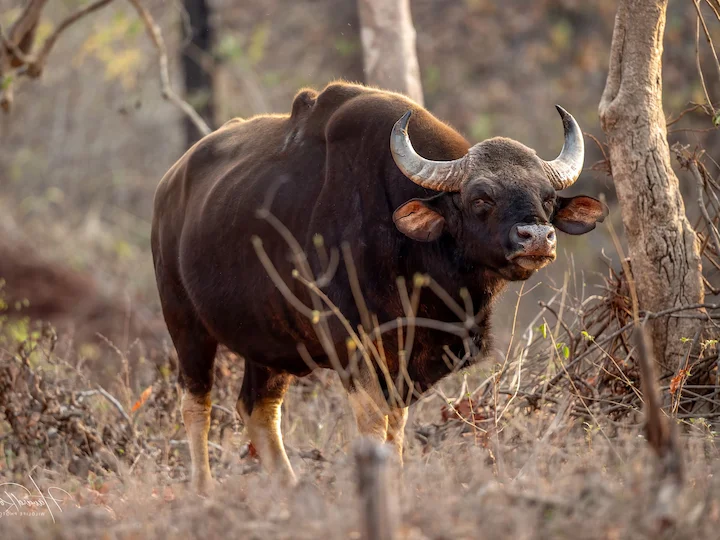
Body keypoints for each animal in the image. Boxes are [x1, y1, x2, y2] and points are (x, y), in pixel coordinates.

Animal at [151, 82, 607, 493]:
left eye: (547, 198)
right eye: (481, 198)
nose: (537, 238)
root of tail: (169, 188)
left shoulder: (404, 358)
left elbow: (396, 424)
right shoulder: (352, 345)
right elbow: (374, 421)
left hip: (269, 343)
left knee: (258, 409)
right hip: (184, 323)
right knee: (197, 404)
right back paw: (205, 491)